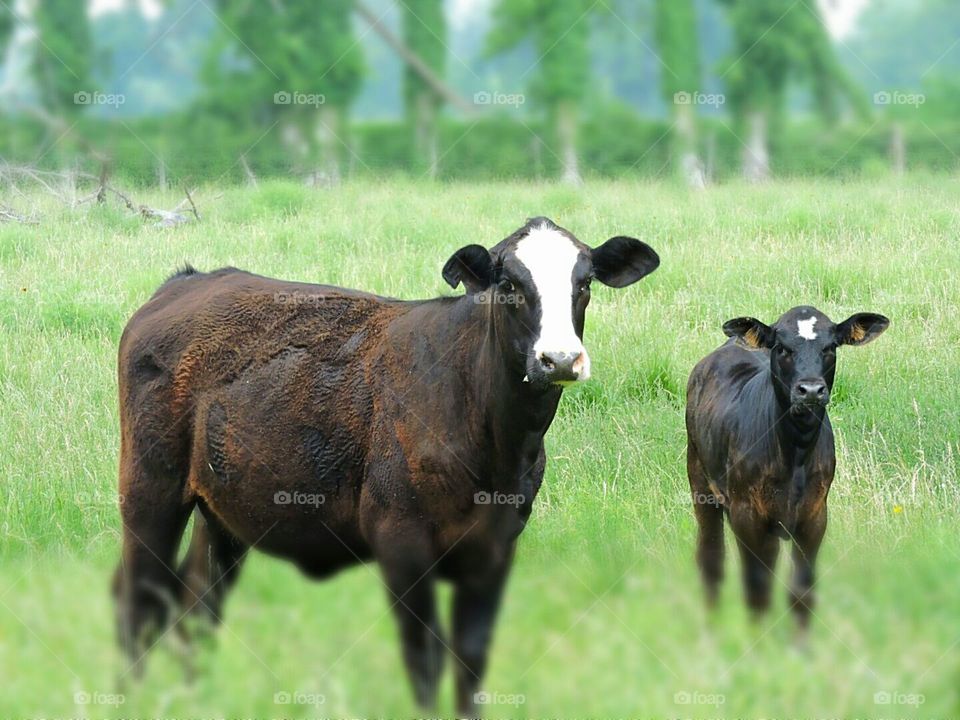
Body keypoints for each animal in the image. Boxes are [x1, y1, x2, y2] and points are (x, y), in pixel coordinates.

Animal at [114, 217, 660, 715]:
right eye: (509, 285)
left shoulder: (497, 545)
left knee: (197, 606)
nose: (560, 359)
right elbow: (424, 661)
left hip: (223, 510)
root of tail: (189, 281)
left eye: (584, 283)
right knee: (137, 597)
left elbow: (471, 659)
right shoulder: (401, 540)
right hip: (148, 489)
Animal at [685, 306, 889, 633]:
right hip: (700, 481)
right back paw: (710, 627)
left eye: (830, 347)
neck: (796, 453)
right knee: (711, 559)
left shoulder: (815, 516)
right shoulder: (746, 514)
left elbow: (801, 592)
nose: (811, 390)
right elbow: (756, 589)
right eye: (782, 348)